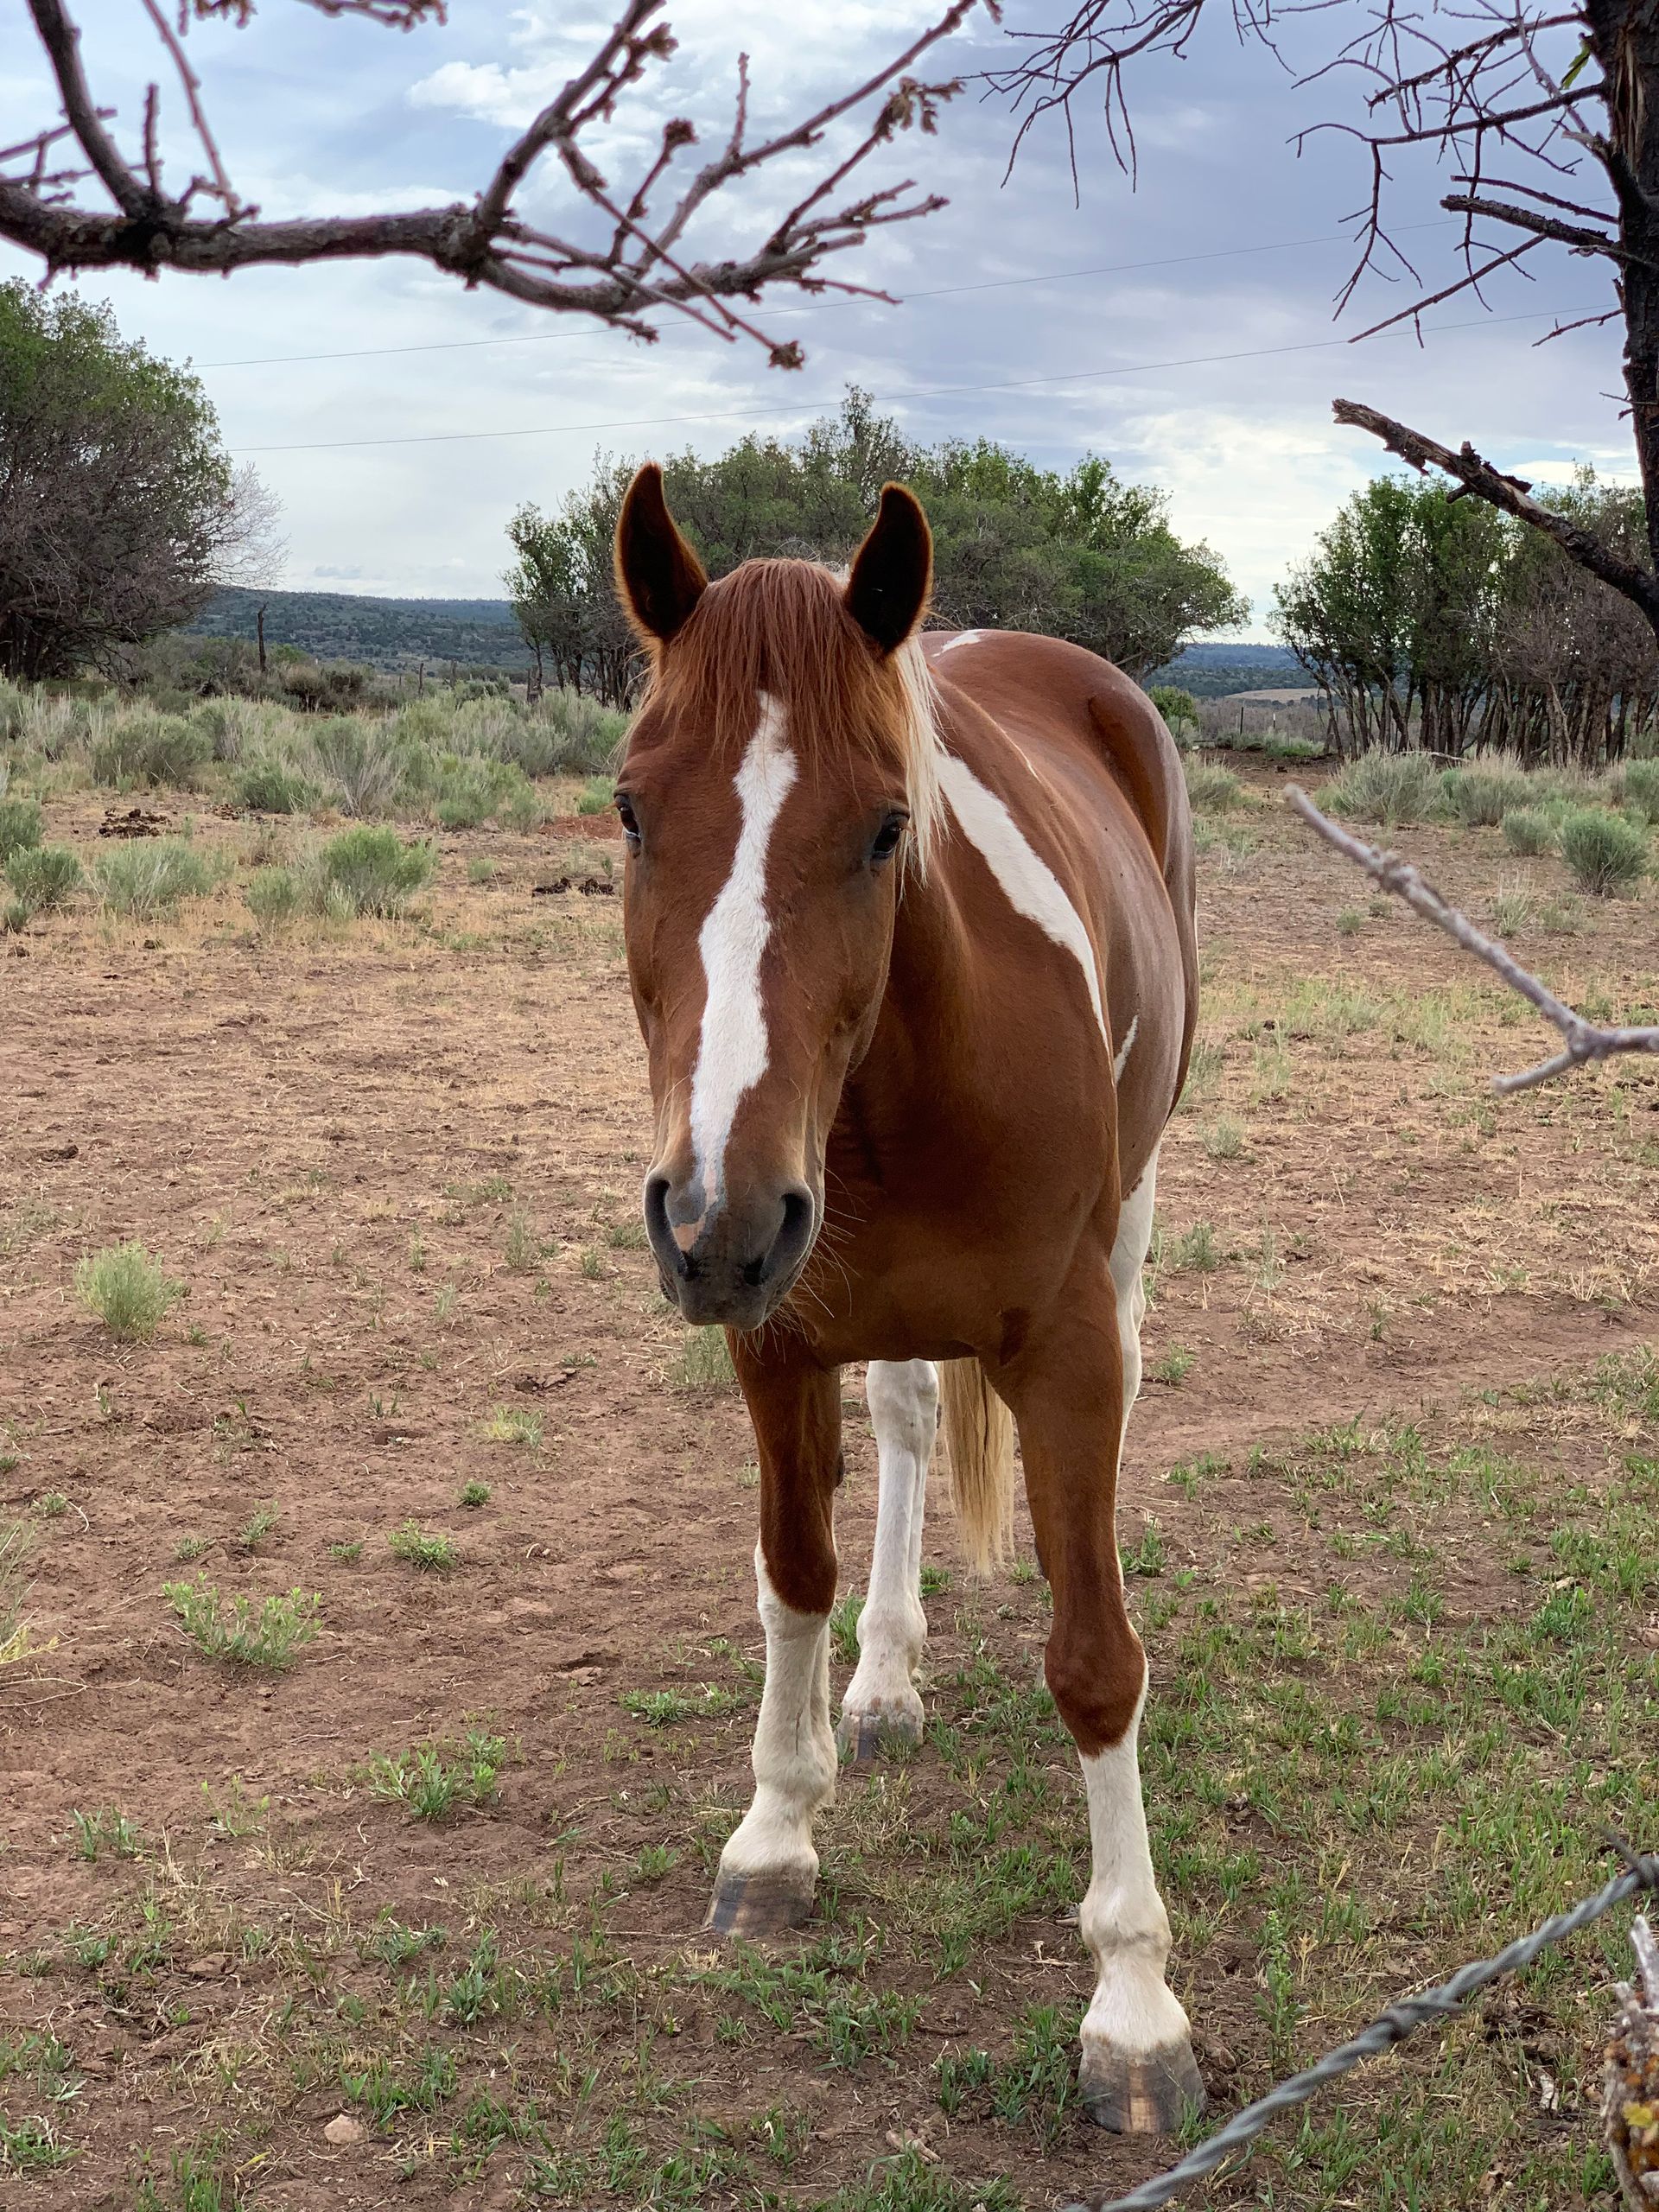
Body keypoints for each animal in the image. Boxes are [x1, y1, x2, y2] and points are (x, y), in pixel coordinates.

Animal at [609, 463, 1203, 2135]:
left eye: (886, 829)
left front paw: (1134, 2001)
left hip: (1129, 1226)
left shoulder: (1069, 1353)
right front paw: (777, 1829)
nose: (714, 1220)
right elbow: (791, 1574)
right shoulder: (776, 1338)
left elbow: (1095, 1656)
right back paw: (881, 1677)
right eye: (630, 808)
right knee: (910, 1423)